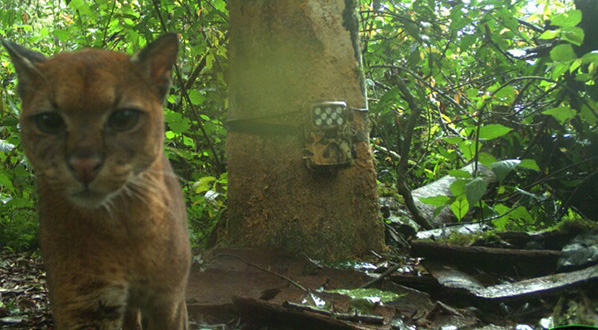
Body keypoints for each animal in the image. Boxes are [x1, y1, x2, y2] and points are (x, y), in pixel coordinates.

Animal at [1, 34, 190, 330]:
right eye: (49, 121)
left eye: (124, 118)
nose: (84, 166)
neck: (124, 225)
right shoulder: (82, 303)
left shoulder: (168, 302)